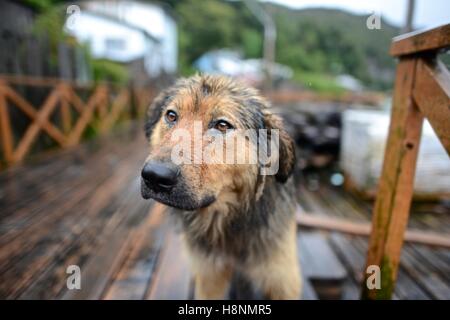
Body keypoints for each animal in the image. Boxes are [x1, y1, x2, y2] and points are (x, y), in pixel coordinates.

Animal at [141, 74, 302, 298]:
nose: (155, 176)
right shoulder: (210, 275)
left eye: (222, 125)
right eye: (171, 115)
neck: (227, 219)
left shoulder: (283, 279)